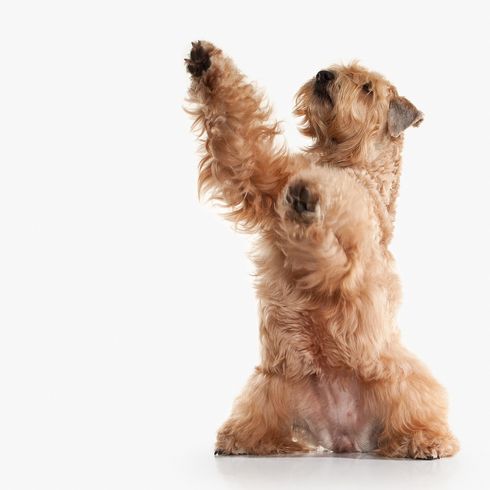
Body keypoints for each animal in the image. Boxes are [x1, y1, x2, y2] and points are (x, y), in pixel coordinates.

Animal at [185, 39, 460, 460]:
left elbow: (328, 249)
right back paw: (241, 440)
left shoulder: (352, 253)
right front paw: (206, 63)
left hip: (402, 379)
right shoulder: (262, 175)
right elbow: (240, 132)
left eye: (367, 89)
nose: (323, 76)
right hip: (271, 386)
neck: (345, 162)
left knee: (417, 413)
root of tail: (344, 434)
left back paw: (426, 441)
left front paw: (310, 201)